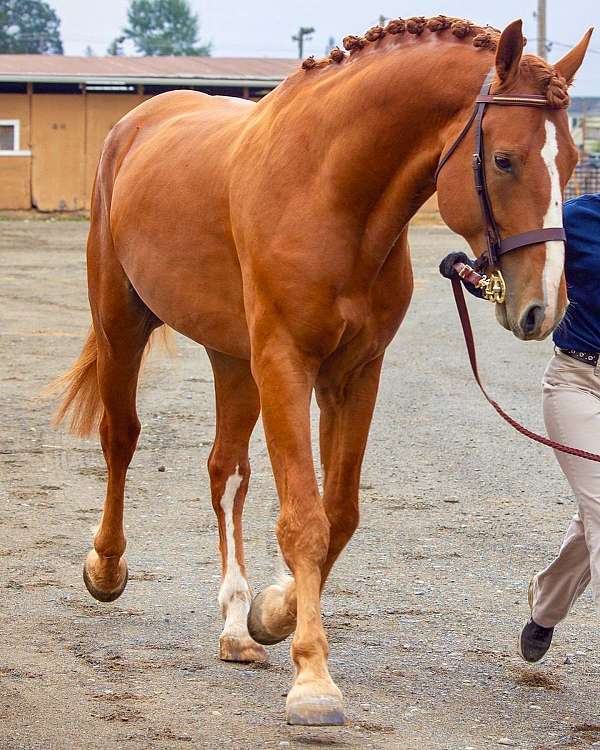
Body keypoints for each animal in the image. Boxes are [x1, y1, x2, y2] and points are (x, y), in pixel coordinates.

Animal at [55, 16, 592, 724]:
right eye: (504, 159)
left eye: (574, 161)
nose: (542, 308)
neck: (330, 193)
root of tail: (138, 120)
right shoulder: (285, 365)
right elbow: (304, 520)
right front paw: (312, 679)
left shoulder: (354, 376)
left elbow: (338, 514)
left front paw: (272, 614)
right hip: (124, 326)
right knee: (121, 439)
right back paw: (107, 568)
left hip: (233, 359)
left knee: (226, 473)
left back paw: (235, 625)